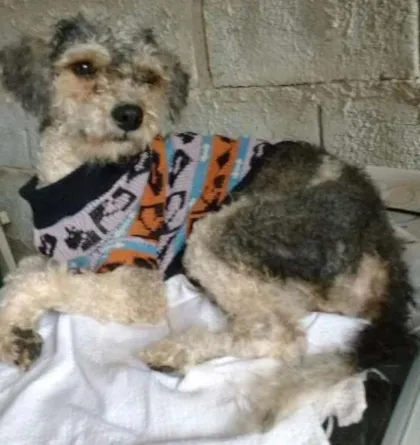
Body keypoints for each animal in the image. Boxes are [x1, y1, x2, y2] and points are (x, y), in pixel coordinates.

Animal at [0, 11, 416, 430]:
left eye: (148, 77)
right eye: (83, 68)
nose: (131, 114)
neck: (78, 173)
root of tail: (380, 235)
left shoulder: (136, 283)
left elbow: (39, 283)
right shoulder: (53, 257)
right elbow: (23, 274)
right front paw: (16, 334)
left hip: (219, 233)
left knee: (279, 335)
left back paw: (174, 351)